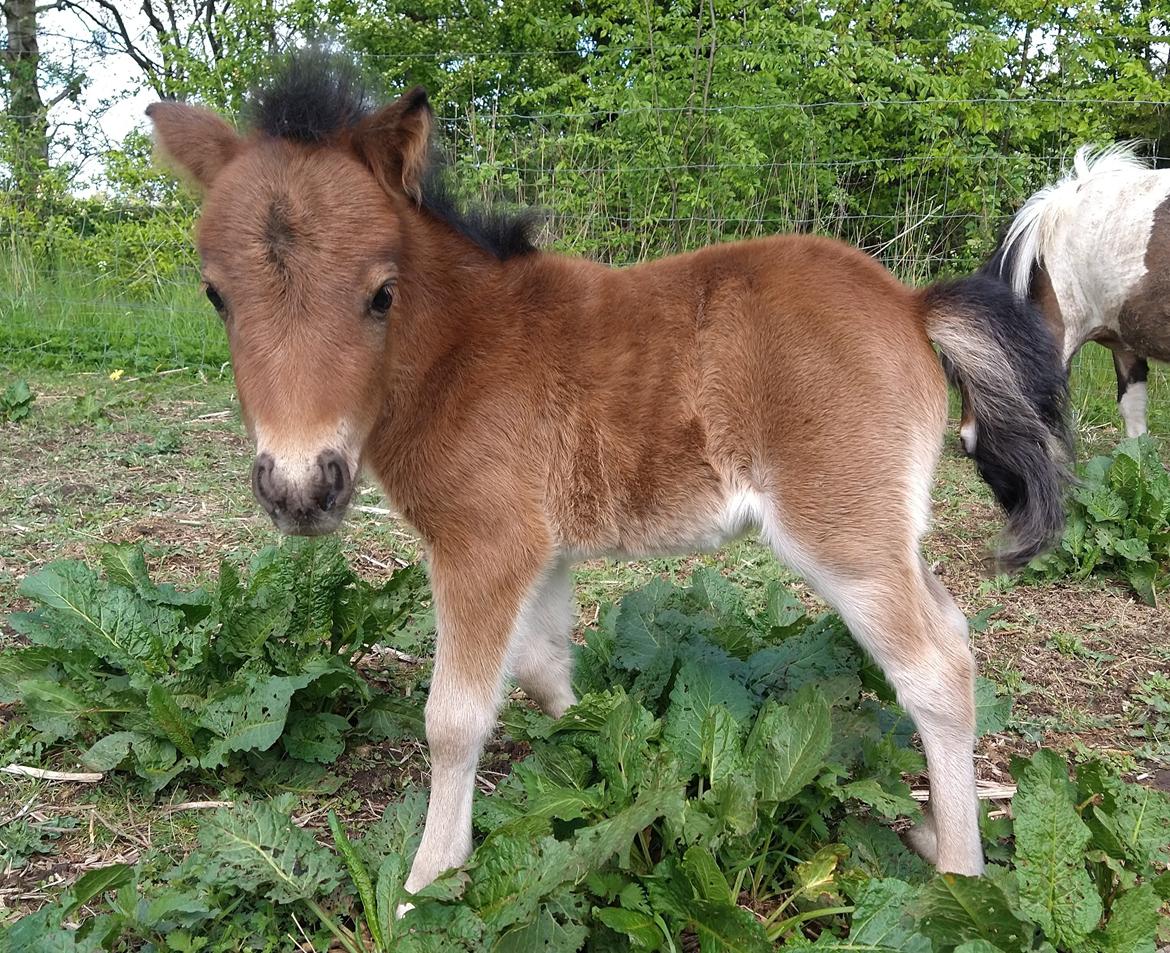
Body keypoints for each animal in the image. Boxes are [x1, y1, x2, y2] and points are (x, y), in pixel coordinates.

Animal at [146, 54, 1071, 902]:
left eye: (381, 293)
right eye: (216, 294)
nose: (300, 488)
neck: (458, 352)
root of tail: (911, 306)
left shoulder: (483, 545)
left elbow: (454, 719)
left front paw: (429, 881)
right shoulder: (539, 552)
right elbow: (546, 668)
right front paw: (628, 756)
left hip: (844, 539)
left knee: (936, 672)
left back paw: (959, 875)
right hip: (884, 535)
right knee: (954, 630)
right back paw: (935, 830)